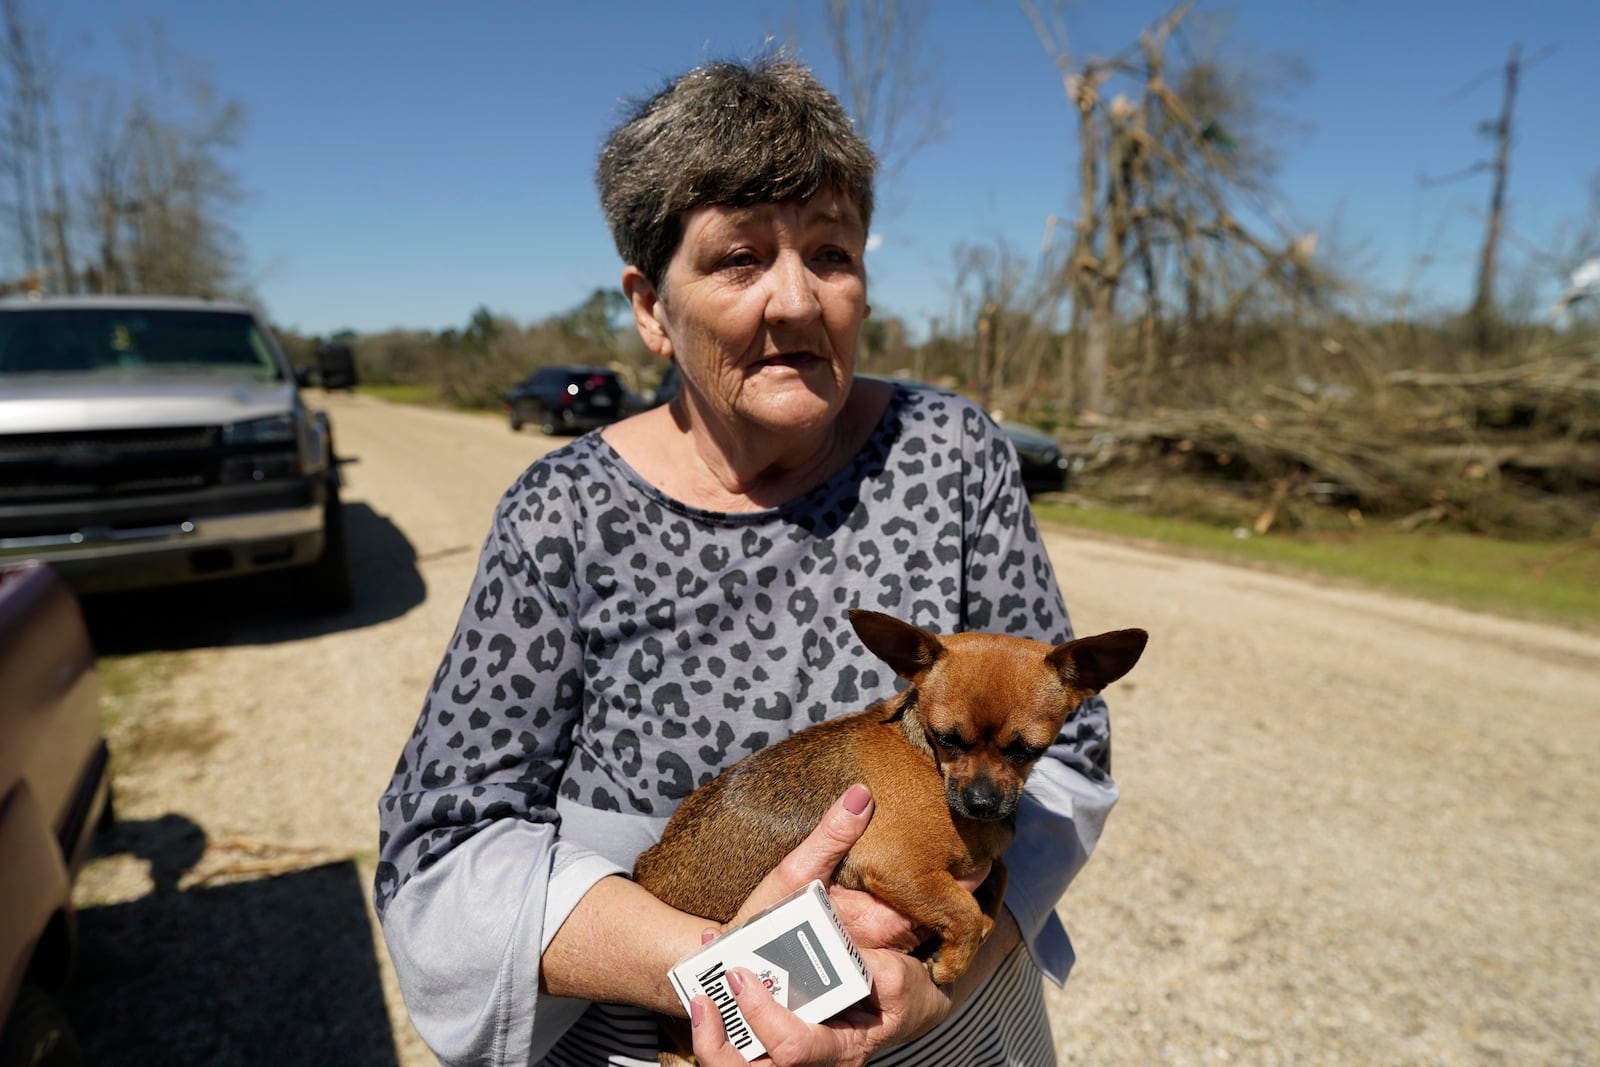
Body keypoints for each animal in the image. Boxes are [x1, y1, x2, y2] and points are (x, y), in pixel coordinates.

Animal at [630, 607, 1145, 1049]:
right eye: (946, 738)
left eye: (1027, 750)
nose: (981, 803)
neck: (927, 759)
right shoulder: (899, 865)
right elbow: (964, 908)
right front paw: (954, 959)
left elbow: (997, 878)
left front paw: (981, 925)